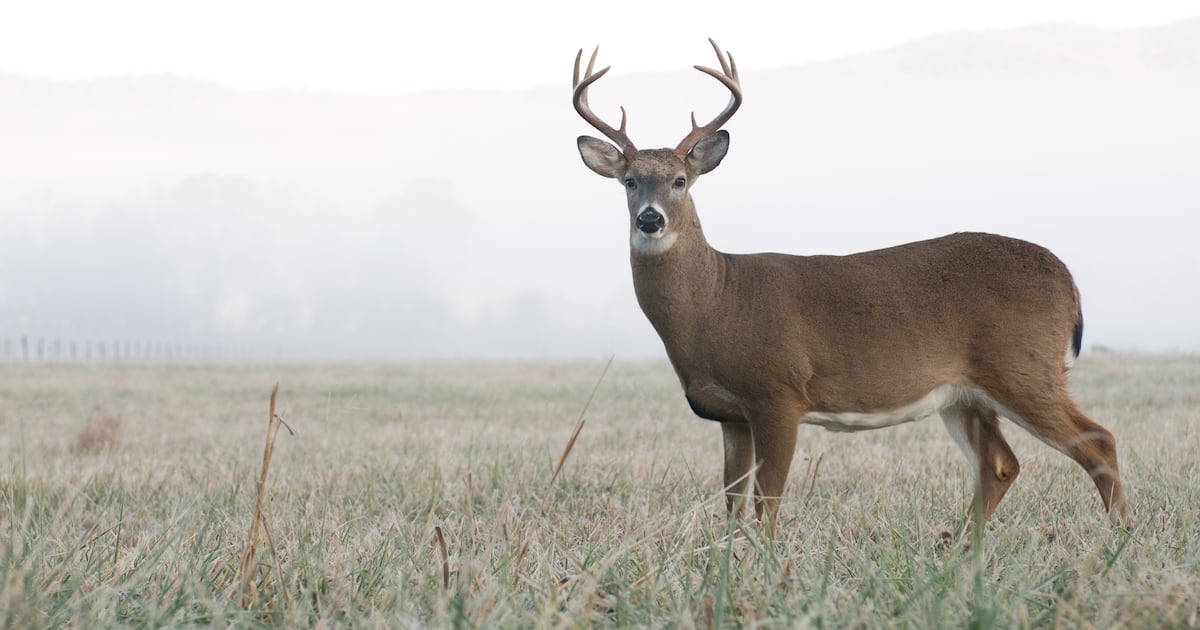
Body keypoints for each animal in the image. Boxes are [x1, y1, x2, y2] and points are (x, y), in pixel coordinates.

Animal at [572, 40, 1128, 536]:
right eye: (629, 182)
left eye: (681, 180)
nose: (650, 219)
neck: (715, 302)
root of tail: (1068, 281)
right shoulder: (730, 414)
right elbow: (732, 503)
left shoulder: (778, 392)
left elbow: (767, 502)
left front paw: (766, 565)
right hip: (965, 393)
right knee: (1001, 464)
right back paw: (962, 550)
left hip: (1023, 367)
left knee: (1098, 441)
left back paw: (1119, 537)